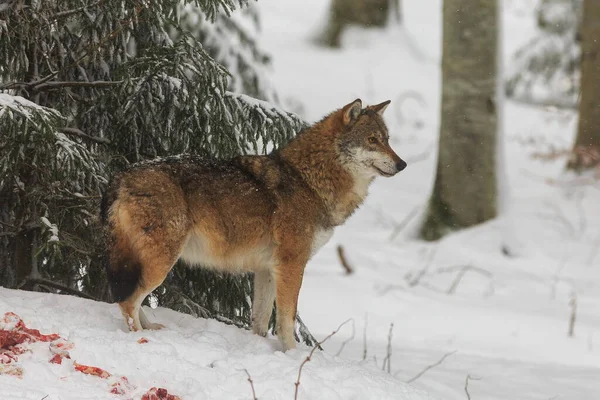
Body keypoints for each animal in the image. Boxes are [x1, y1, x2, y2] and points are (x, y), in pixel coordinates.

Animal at [102, 99, 408, 350]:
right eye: (372, 140)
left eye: (387, 140)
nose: (402, 164)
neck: (308, 181)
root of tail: (122, 176)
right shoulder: (291, 265)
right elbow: (287, 321)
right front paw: (292, 356)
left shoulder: (267, 269)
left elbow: (260, 321)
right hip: (162, 262)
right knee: (127, 301)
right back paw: (141, 337)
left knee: (129, 297)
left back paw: (152, 329)